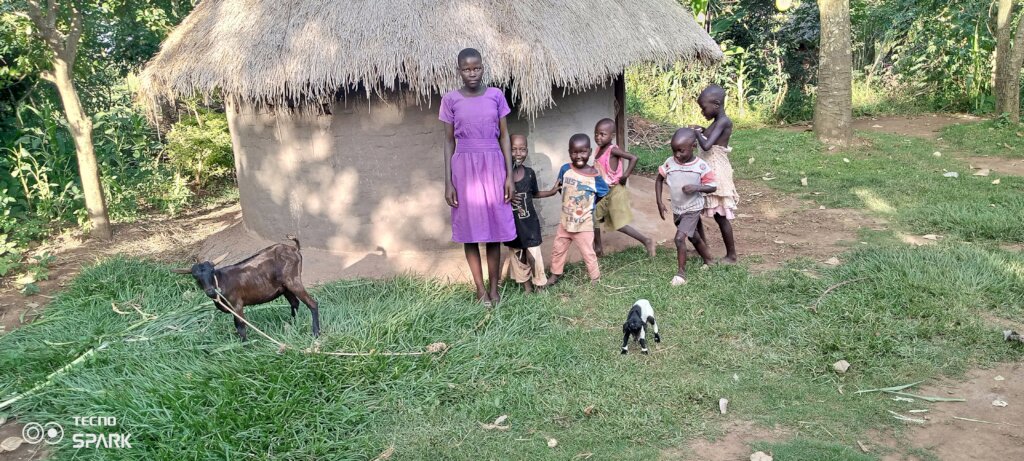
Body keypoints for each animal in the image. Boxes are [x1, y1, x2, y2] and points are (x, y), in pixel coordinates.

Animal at [172, 236, 320, 341]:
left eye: (212, 271)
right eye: (195, 276)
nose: (210, 291)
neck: (220, 282)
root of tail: (295, 249)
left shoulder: (237, 304)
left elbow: (241, 327)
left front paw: (245, 347)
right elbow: (237, 326)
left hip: (293, 281)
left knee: (312, 303)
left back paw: (316, 333)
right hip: (285, 288)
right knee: (295, 303)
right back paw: (291, 326)